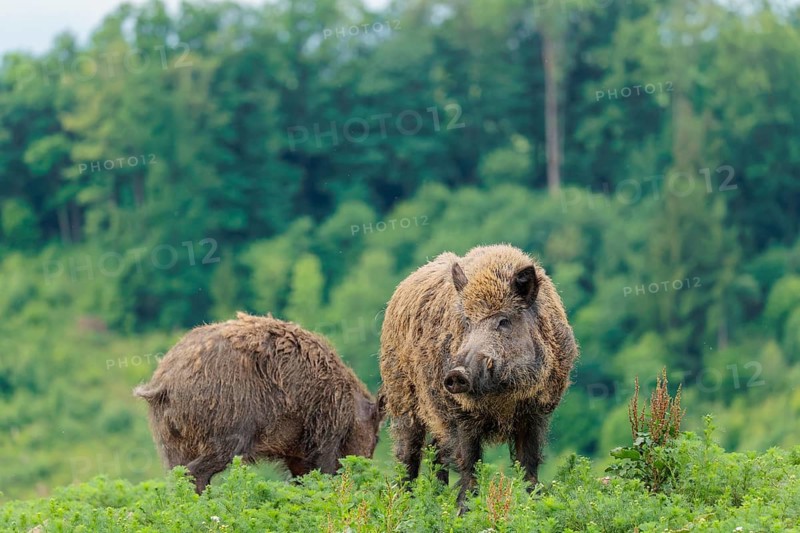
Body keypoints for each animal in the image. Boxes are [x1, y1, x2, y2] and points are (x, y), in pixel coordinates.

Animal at [134, 312, 384, 493]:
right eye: (377, 437)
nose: (366, 470)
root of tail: (164, 383)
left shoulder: (296, 449)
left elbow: (302, 476)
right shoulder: (325, 430)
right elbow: (324, 468)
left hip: (168, 437)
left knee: (175, 471)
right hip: (227, 423)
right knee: (196, 470)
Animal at [379, 244, 578, 511]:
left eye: (503, 321)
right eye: (467, 322)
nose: (456, 374)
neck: (502, 398)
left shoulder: (535, 413)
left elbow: (529, 464)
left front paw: (534, 505)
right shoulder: (462, 414)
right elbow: (469, 463)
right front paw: (465, 511)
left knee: (437, 452)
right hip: (401, 396)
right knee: (407, 454)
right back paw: (404, 506)